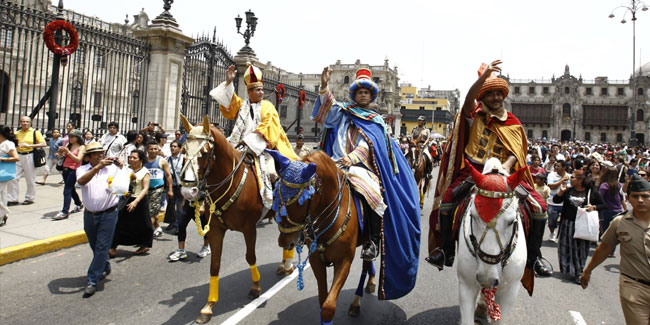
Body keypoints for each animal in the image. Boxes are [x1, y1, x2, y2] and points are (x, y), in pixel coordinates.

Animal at [175, 115, 292, 322]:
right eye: (183, 150)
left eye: (204, 153)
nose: (188, 191)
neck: (232, 180)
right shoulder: (216, 230)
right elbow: (214, 264)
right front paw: (208, 306)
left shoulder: (249, 228)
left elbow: (250, 256)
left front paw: (256, 287)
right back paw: (284, 265)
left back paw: (289, 266)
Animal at [264, 150, 374, 324]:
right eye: (276, 196)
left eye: (300, 202)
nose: (284, 242)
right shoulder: (316, 260)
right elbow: (323, 300)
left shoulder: (344, 261)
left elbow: (329, 306)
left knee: (367, 264)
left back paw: (358, 300)